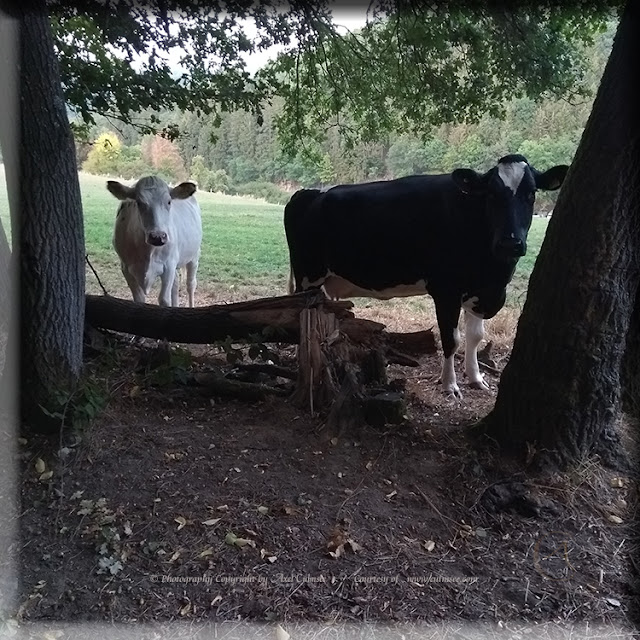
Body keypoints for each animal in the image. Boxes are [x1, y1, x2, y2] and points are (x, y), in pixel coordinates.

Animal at [107, 174, 202, 306]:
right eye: (139, 202)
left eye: (169, 201)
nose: (158, 236)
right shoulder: (126, 267)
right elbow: (139, 298)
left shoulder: (169, 265)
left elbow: (164, 299)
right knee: (176, 283)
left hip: (194, 256)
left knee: (191, 284)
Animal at [282, 154, 568, 396]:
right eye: (491, 194)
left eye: (531, 194)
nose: (511, 243)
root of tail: (307, 193)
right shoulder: (446, 290)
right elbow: (451, 339)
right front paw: (450, 385)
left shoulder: (479, 291)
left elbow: (475, 337)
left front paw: (476, 378)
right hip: (308, 277)